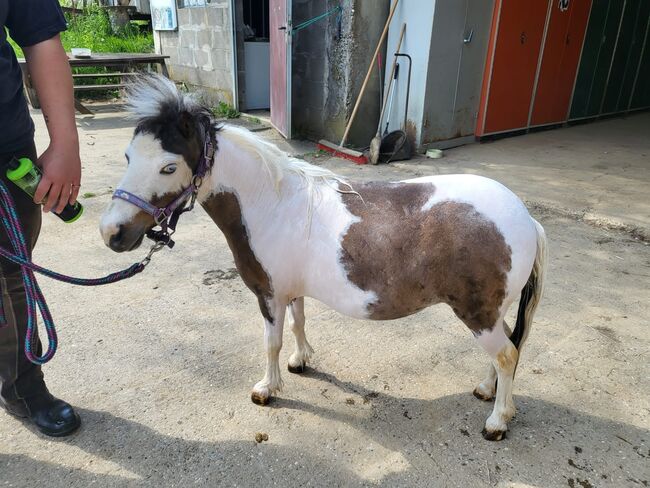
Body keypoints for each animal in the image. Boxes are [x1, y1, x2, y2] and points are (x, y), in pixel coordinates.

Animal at [100, 75, 548, 438]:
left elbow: (271, 342)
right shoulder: (290, 292)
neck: (273, 204)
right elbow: (298, 324)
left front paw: (267, 389)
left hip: (477, 314)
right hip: (490, 312)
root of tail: (526, 218)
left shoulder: (268, 296)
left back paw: (497, 421)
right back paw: (486, 391)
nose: (112, 233)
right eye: (128, 156)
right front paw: (301, 362)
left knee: (507, 354)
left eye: (168, 166)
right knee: (506, 348)